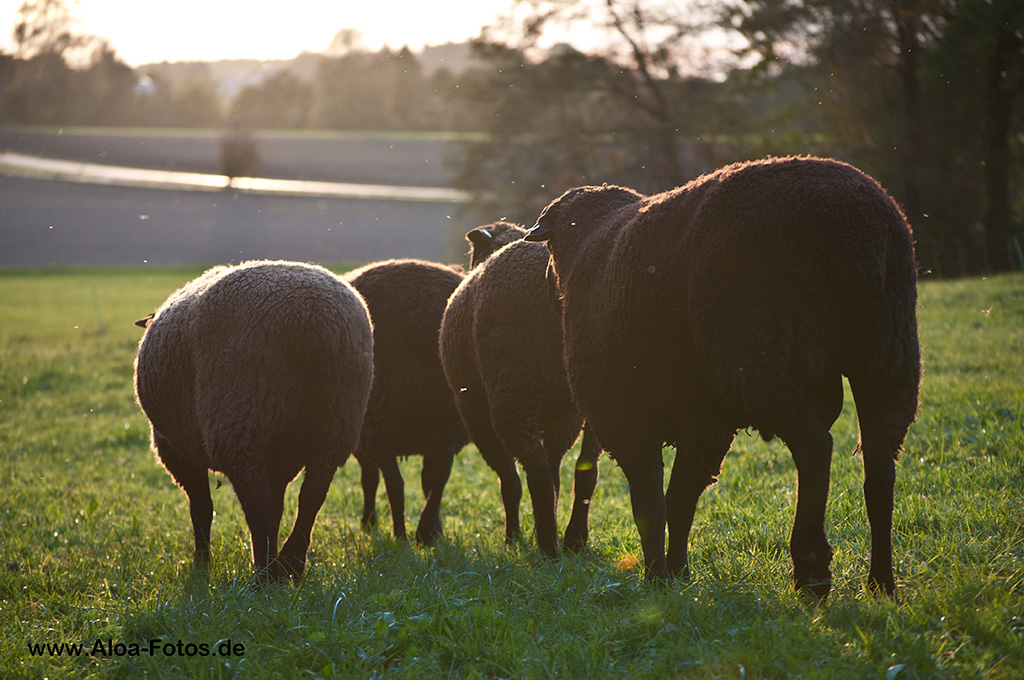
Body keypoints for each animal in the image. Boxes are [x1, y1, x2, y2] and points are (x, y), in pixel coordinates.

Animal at [134, 260, 374, 585]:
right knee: (311, 497)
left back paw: (264, 573)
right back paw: (290, 565)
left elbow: (201, 507)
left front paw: (201, 564)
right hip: (336, 421)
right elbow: (280, 505)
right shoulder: (280, 459)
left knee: (258, 505)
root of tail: (313, 318)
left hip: (241, 419)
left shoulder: (175, 450)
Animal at [346, 258, 468, 544]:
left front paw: (372, 523)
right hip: (445, 416)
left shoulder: (367, 437)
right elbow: (429, 479)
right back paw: (423, 530)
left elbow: (374, 480)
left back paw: (401, 533)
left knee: (393, 482)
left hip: (380, 420)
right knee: (440, 473)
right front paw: (435, 529)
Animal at [438, 223, 598, 557]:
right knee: (584, 470)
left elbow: (509, 481)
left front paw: (512, 538)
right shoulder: (562, 418)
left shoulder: (475, 414)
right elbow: (555, 474)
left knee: (536, 473)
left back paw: (548, 548)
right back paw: (573, 539)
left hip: (511, 390)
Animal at [528, 155, 921, 593]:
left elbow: (649, 503)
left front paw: (657, 579)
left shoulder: (623, 415)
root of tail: (858, 233)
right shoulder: (705, 421)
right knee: (879, 468)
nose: (546, 290)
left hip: (758, 355)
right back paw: (881, 581)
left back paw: (812, 567)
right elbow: (681, 497)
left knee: (816, 446)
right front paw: (678, 573)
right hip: (890, 358)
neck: (585, 248)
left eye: (549, 248)